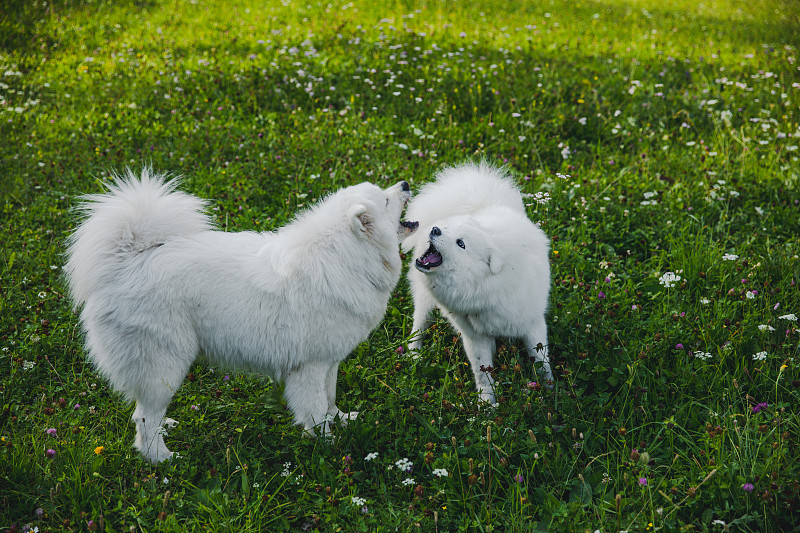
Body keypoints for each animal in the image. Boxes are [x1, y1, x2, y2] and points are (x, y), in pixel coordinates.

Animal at [65, 169, 418, 462]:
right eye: (387, 201)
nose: (405, 183)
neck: (346, 259)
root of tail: (128, 262)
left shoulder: (329, 361)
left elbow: (330, 399)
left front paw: (343, 421)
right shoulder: (310, 366)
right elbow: (316, 410)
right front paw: (327, 444)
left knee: (146, 412)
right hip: (164, 363)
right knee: (143, 417)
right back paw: (163, 459)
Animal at [404, 162, 552, 404]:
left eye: (461, 243)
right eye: (447, 229)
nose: (435, 229)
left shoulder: (532, 324)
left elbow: (542, 363)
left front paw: (551, 392)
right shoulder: (476, 338)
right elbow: (483, 374)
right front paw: (487, 405)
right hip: (424, 301)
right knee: (419, 325)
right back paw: (413, 354)